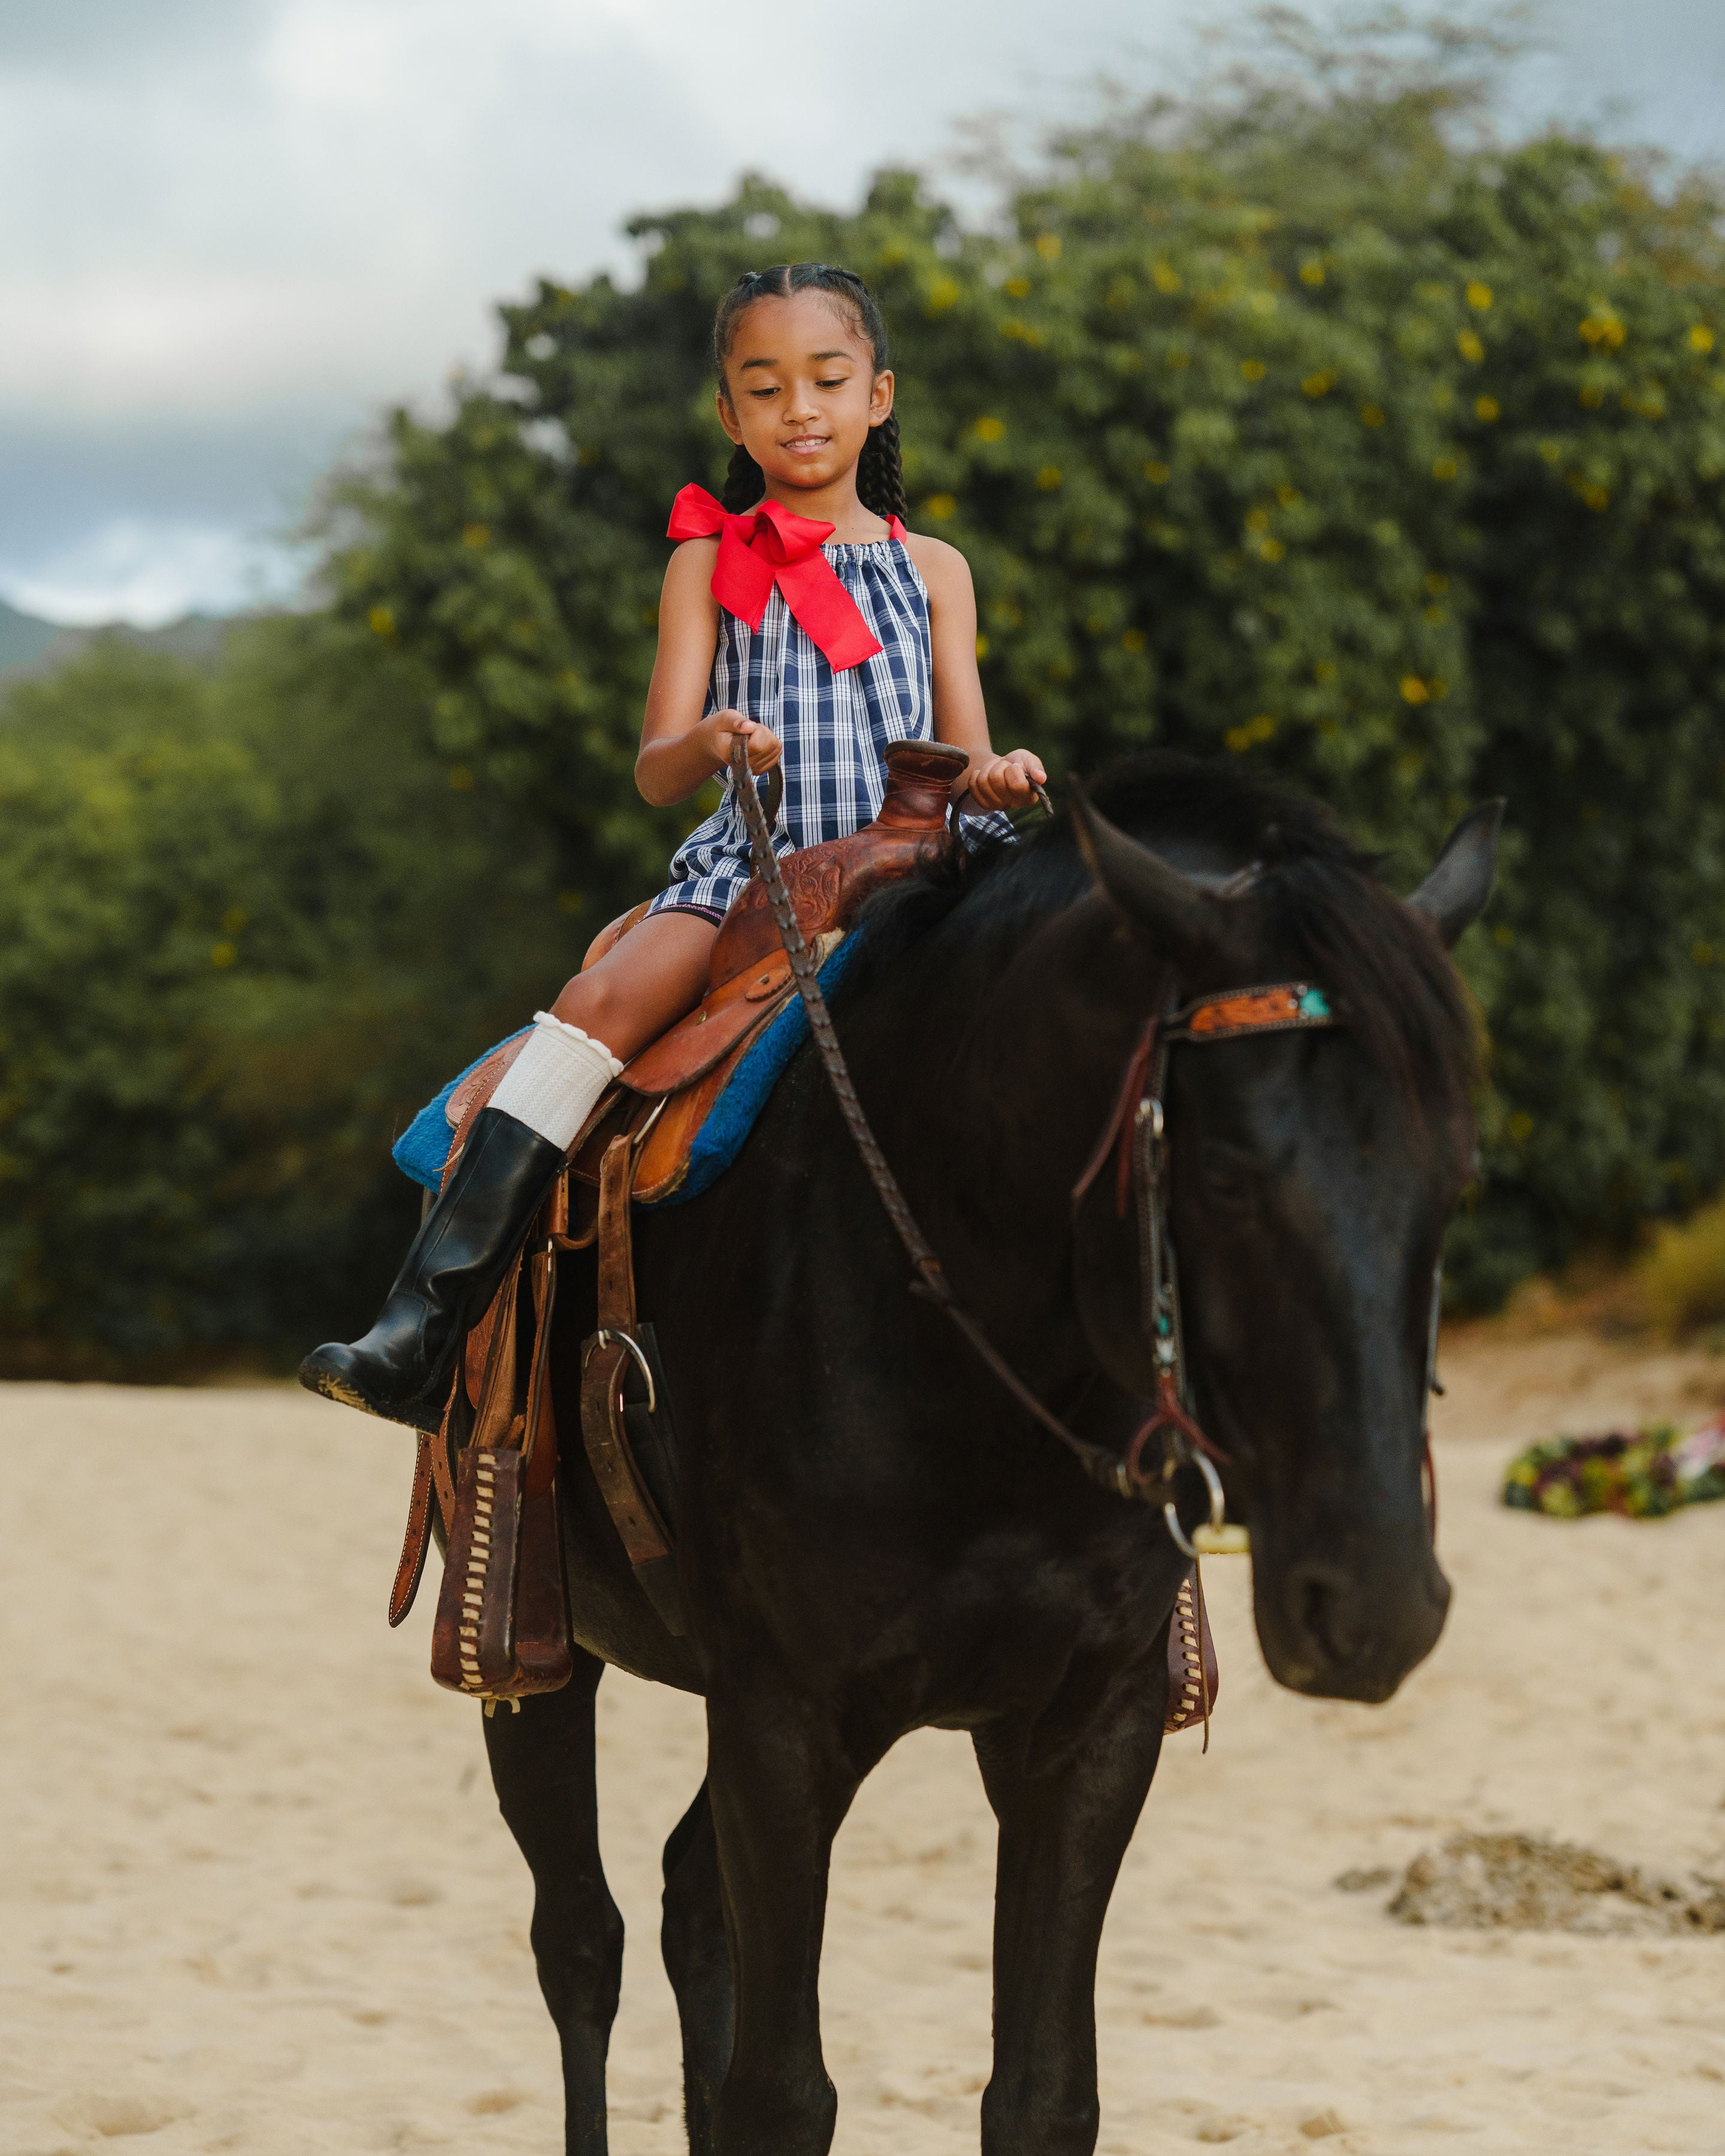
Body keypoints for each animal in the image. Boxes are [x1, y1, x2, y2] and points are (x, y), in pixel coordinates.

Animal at [472, 750, 1492, 2147]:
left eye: (1453, 1183)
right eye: (1229, 1178)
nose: (1378, 1603)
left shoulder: (1089, 1726)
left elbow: (1042, 2093)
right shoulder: (782, 1720)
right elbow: (781, 2090)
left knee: (684, 1903)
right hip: (533, 1647)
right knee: (581, 1940)